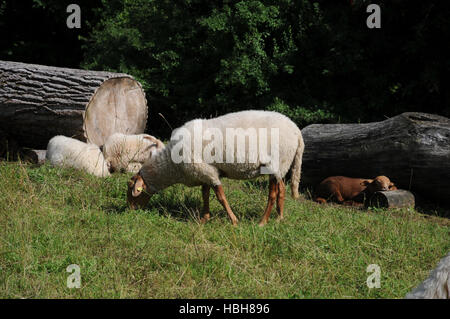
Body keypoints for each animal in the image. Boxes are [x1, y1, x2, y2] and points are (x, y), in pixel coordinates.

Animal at [125, 111, 306, 226]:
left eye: (131, 188)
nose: (130, 210)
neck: (172, 166)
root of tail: (297, 132)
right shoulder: (204, 172)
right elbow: (205, 195)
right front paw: (204, 218)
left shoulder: (208, 172)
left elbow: (221, 197)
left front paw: (233, 220)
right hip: (282, 165)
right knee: (281, 190)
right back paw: (279, 218)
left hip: (274, 163)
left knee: (273, 194)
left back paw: (262, 222)